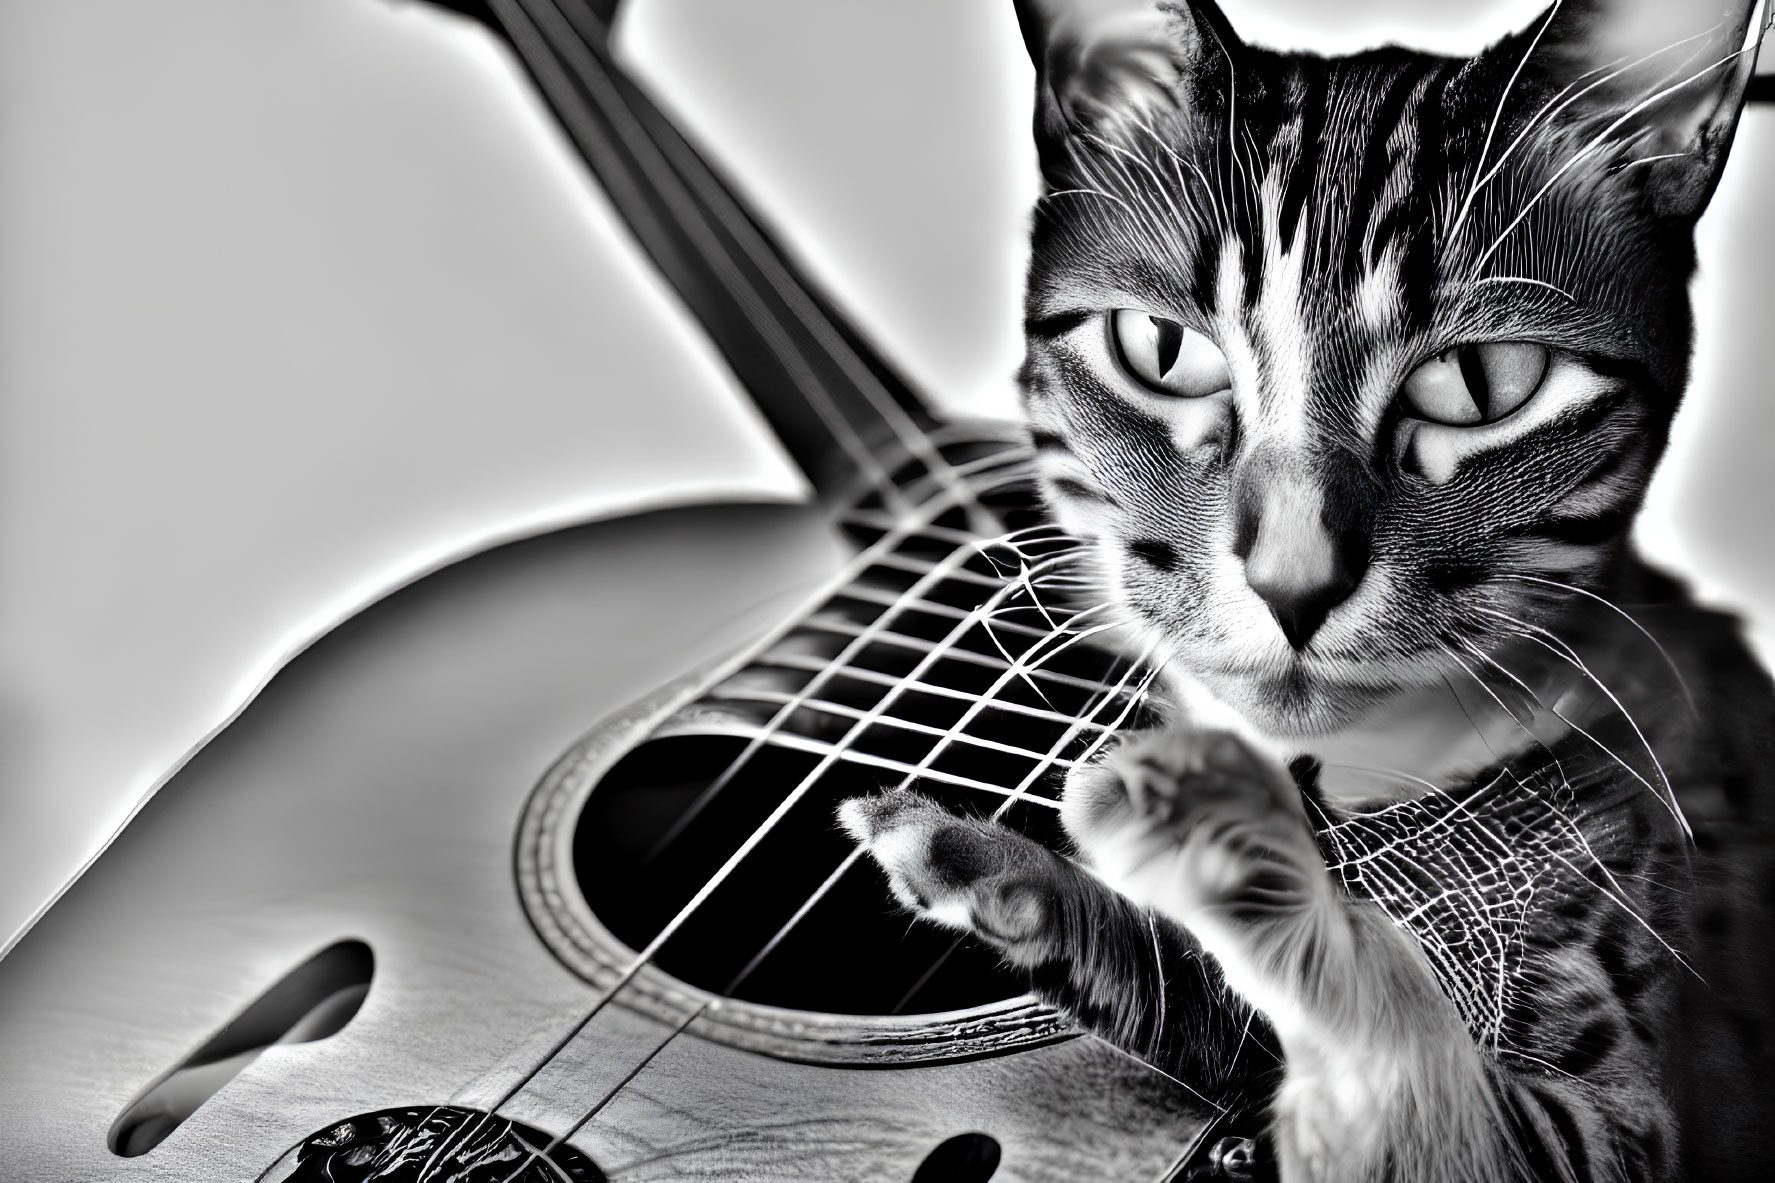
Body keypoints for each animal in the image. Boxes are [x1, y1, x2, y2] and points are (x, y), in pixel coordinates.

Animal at [837, 0, 1775, 1172]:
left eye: (1484, 383)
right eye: (1158, 348)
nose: (1292, 581)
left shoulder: (1620, 1123)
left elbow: (1409, 1060)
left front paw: (1214, 841)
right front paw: (1009, 868)